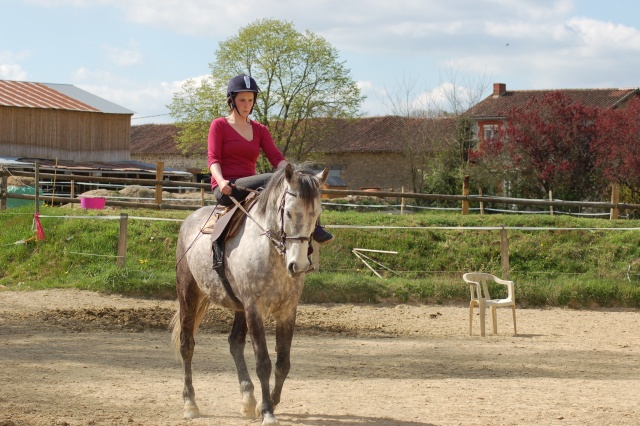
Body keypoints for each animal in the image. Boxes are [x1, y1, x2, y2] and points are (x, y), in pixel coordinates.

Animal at [171, 164, 328, 426]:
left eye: (317, 214)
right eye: (288, 213)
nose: (298, 266)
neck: (271, 251)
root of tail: (190, 221)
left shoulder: (287, 312)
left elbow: (283, 363)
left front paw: (268, 402)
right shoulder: (255, 309)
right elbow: (263, 362)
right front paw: (267, 411)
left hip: (239, 306)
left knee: (234, 343)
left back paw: (247, 399)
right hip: (188, 294)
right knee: (186, 345)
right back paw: (190, 403)